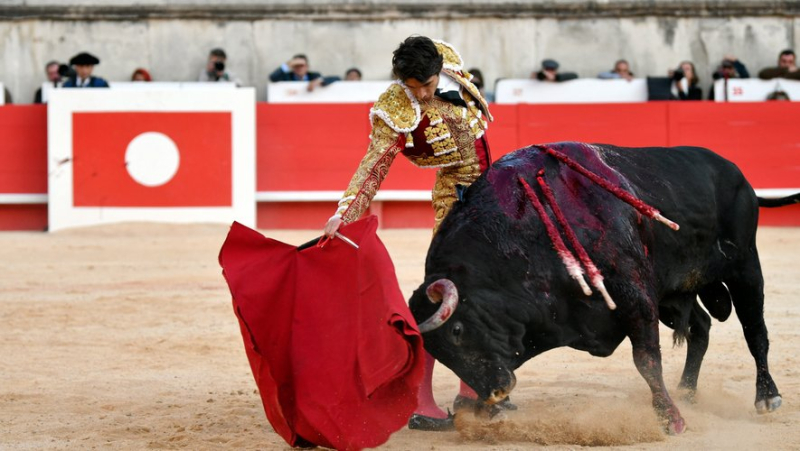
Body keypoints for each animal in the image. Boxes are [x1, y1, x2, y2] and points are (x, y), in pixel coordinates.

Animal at [412, 144, 792, 434]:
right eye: (436, 351)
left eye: (457, 331)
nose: (494, 392)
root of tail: (735, 172)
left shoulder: (635, 295)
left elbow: (647, 361)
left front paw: (671, 420)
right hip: (674, 294)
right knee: (701, 327)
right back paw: (687, 392)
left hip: (745, 266)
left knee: (755, 331)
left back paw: (766, 396)